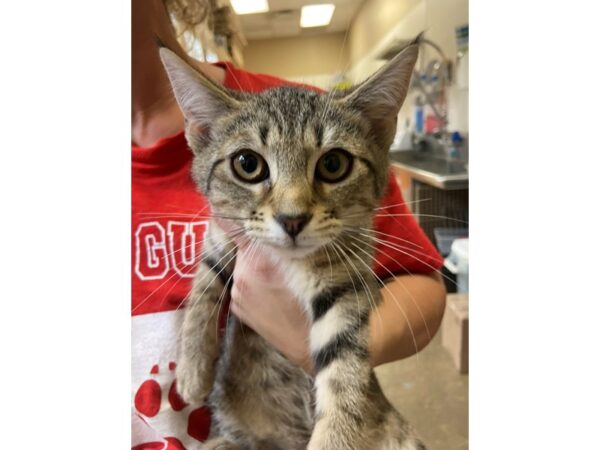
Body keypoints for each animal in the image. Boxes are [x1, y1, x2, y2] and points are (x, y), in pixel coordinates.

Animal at [157, 36, 424, 450]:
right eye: (247, 164)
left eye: (333, 164)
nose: (292, 219)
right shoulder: (221, 232)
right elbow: (203, 287)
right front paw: (192, 369)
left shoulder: (349, 283)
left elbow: (345, 374)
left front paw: (335, 436)